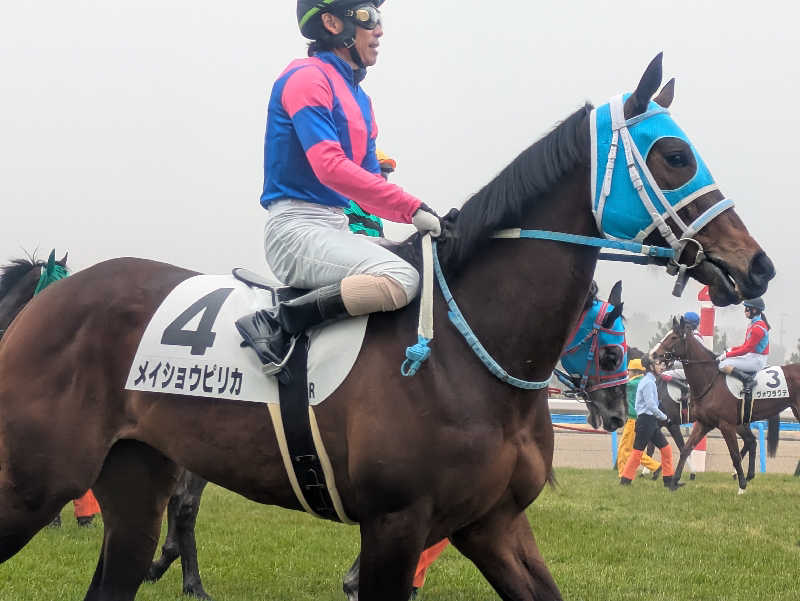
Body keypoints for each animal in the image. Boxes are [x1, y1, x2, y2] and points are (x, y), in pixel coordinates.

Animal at [648, 316, 792, 490]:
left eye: (673, 337)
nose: (654, 354)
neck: (709, 379)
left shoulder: (672, 422)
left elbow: (668, 445)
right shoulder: (696, 422)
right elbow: (679, 447)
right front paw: (668, 478)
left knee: (748, 442)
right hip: (741, 421)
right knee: (750, 441)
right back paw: (744, 474)